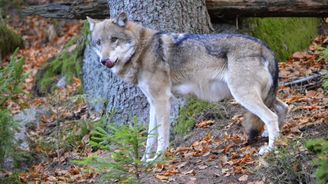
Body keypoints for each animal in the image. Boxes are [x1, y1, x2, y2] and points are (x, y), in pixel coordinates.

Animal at [86, 12, 288, 162]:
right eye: (99, 43)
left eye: (114, 39)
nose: (104, 61)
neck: (142, 50)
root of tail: (265, 47)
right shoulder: (153, 102)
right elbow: (150, 136)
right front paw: (143, 160)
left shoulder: (162, 100)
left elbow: (162, 136)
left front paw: (157, 158)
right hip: (259, 95)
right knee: (282, 108)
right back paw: (273, 137)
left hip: (242, 95)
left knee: (271, 117)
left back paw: (270, 149)